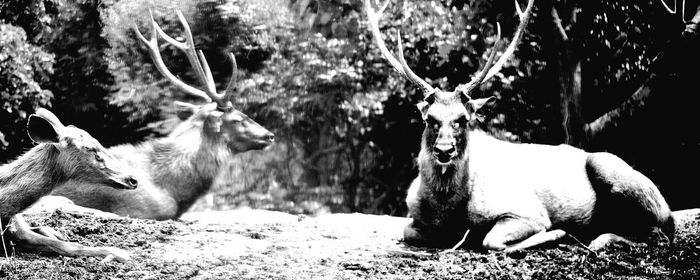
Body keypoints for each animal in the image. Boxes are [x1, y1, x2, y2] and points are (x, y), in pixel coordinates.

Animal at [364, 0, 676, 252]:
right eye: (430, 119)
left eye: (463, 119)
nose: (444, 150)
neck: (447, 211)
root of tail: (667, 207)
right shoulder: (414, 218)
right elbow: (407, 231)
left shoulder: (526, 211)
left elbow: (492, 240)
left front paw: (558, 233)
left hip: (613, 171)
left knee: (659, 234)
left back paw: (597, 239)